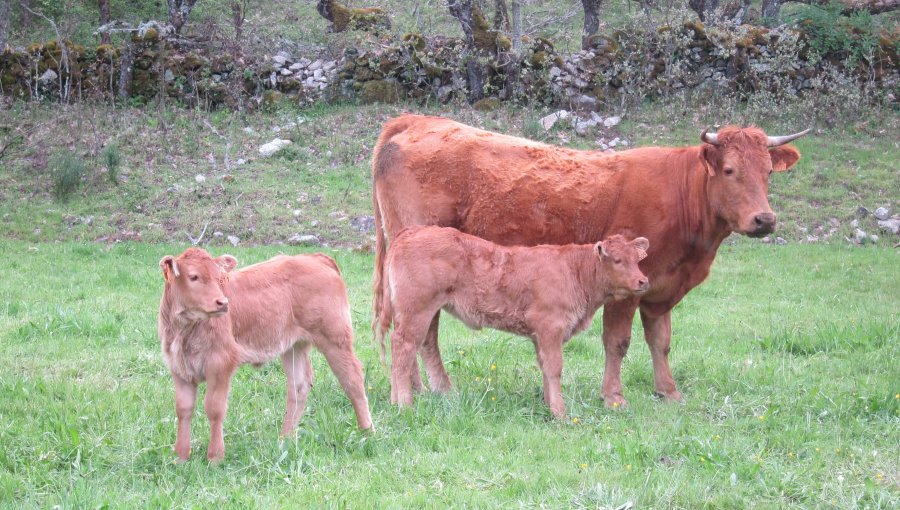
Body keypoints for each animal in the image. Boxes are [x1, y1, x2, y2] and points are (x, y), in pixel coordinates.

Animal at [370, 114, 804, 406]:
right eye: (729, 170)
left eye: (768, 171)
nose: (765, 219)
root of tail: (415, 120)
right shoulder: (626, 291)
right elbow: (618, 341)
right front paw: (613, 396)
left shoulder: (660, 291)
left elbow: (660, 342)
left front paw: (668, 391)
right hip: (424, 280)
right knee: (422, 332)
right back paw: (434, 390)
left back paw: (419, 389)